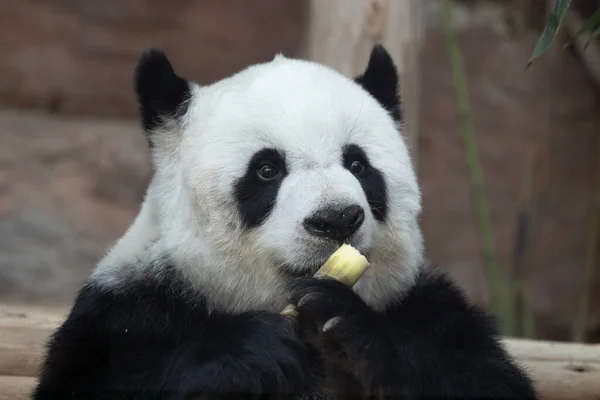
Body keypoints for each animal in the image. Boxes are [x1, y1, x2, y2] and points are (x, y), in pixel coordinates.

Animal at [32, 45, 536, 398]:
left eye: (358, 165)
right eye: (267, 170)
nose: (337, 220)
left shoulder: (422, 304)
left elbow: (484, 378)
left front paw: (347, 322)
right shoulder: (130, 310)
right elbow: (86, 382)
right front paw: (252, 350)